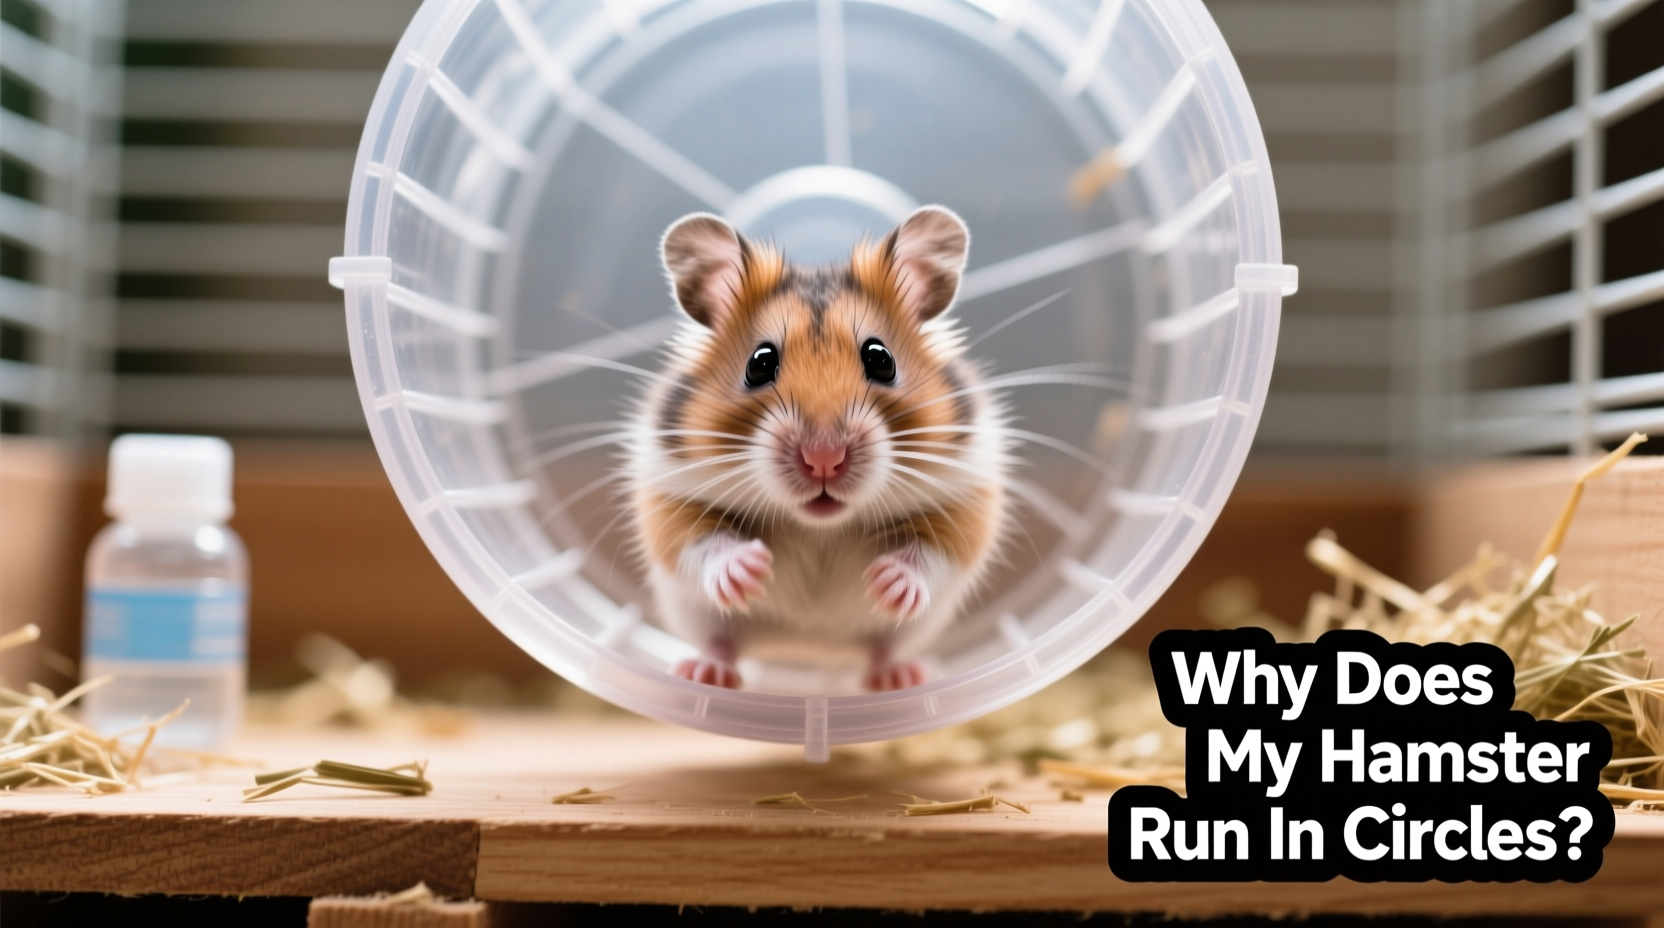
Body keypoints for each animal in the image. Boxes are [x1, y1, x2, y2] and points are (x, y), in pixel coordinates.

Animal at [623, 206, 1011, 692]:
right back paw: (704, 673)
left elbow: (936, 552)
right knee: (723, 642)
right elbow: (698, 542)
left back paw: (900, 678)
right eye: (759, 363)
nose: (823, 459)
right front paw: (749, 570)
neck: (819, 526)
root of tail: (806, 658)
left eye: (881, 359)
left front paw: (887, 583)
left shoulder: (967, 495)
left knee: (881, 649)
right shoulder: (668, 494)